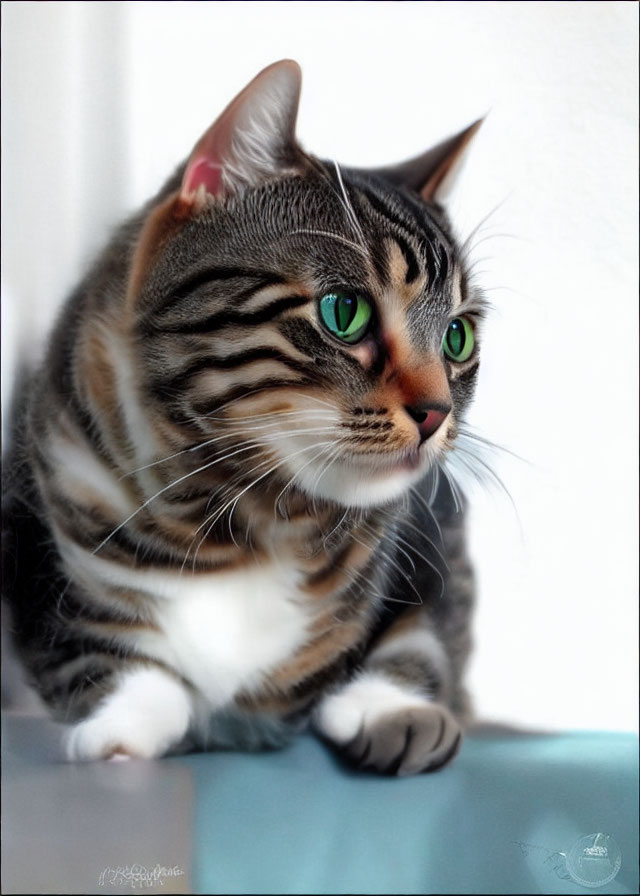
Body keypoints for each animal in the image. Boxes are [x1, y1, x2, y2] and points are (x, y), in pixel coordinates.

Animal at [2, 59, 484, 772]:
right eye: (345, 312)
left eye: (457, 336)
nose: (437, 412)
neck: (243, 522)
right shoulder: (37, 547)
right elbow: (103, 656)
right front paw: (121, 724)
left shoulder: (430, 538)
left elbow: (420, 636)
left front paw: (393, 709)